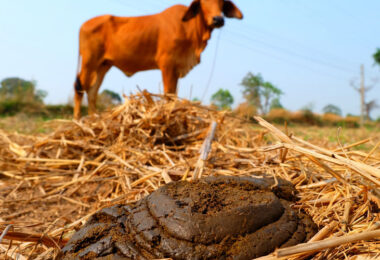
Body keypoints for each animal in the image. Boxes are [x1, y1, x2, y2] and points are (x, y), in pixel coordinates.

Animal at [72, 0, 242, 119]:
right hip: (89, 62)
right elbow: (168, 94)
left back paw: (93, 119)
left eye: (221, 2)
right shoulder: (167, 65)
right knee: (79, 87)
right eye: (203, 2)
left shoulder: (176, 68)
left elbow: (173, 95)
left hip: (103, 65)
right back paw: (77, 119)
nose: (218, 19)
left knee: (92, 91)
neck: (191, 30)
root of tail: (83, 24)